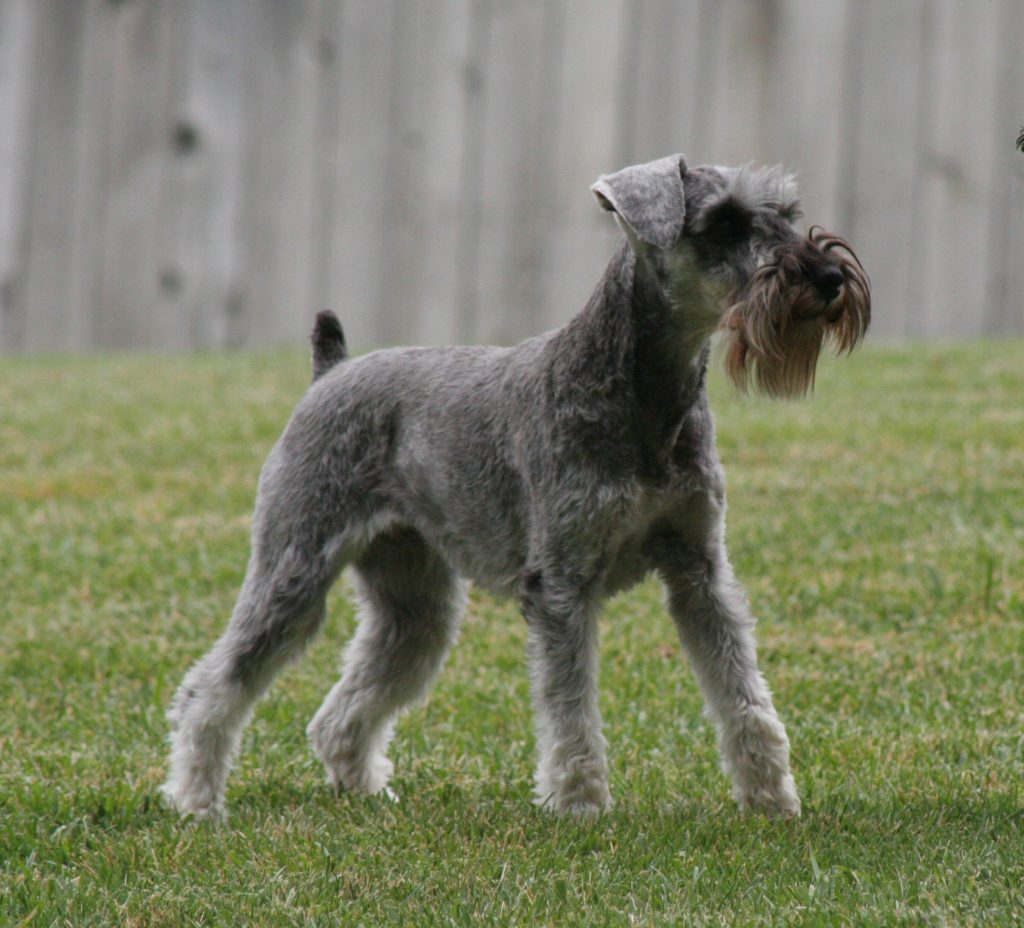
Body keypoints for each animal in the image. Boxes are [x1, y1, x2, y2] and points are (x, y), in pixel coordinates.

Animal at [163, 151, 868, 819]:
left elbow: (743, 694)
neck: (644, 394)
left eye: (787, 212)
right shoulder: (562, 583)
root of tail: (329, 372)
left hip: (417, 607)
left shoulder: (700, 573)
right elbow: (571, 709)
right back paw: (197, 800)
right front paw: (580, 805)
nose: (829, 278)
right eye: (724, 222)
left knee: (341, 710)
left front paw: (771, 800)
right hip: (294, 569)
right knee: (213, 686)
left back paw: (363, 792)